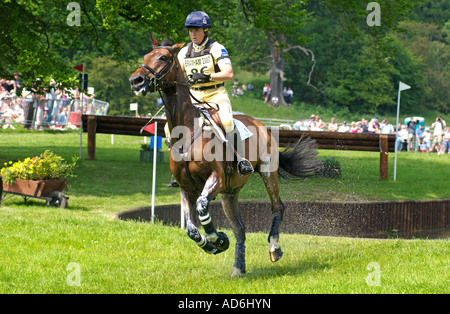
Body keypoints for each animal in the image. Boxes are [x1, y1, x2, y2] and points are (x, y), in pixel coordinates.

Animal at [128, 36, 322, 278]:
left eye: (163, 58)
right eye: (146, 56)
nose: (135, 81)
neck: (188, 131)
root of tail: (263, 126)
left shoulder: (216, 179)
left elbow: (202, 207)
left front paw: (217, 238)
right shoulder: (186, 187)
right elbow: (191, 228)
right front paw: (213, 244)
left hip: (267, 172)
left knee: (278, 207)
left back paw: (274, 248)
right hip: (229, 193)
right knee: (240, 229)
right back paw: (238, 268)